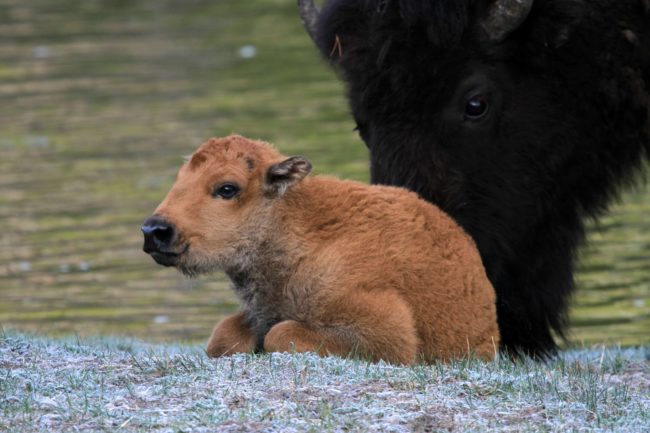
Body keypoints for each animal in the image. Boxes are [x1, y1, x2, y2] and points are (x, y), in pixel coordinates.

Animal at [140, 134, 496, 362]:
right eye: (180, 178)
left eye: (227, 188)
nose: (155, 230)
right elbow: (223, 337)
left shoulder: (385, 329)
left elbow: (280, 333)